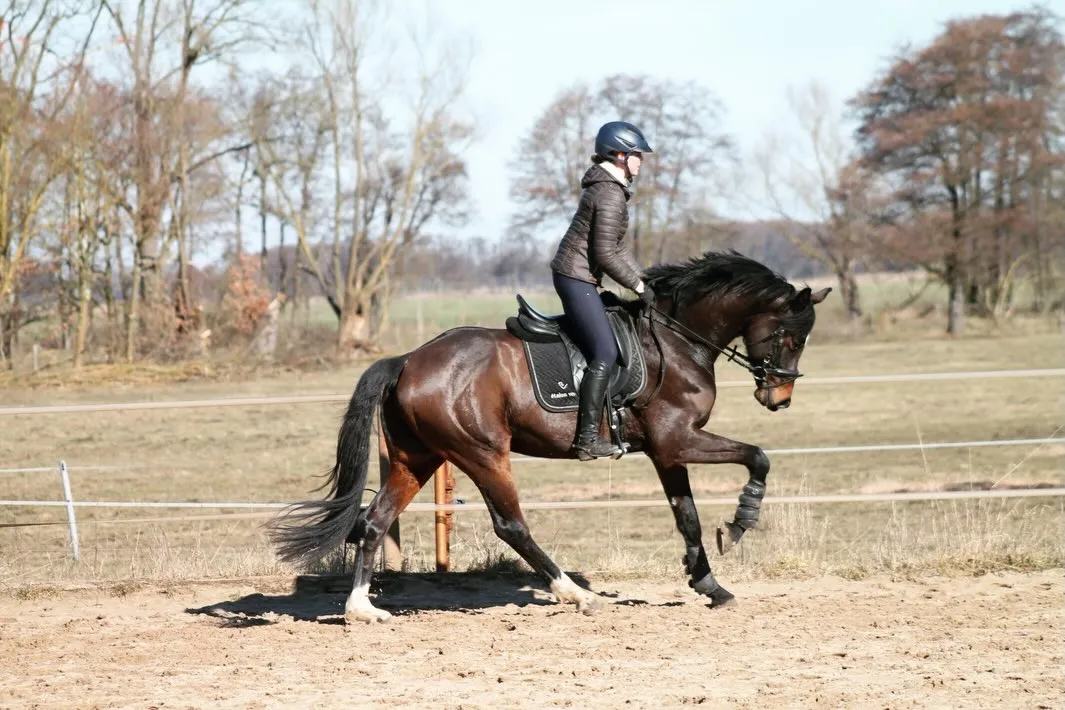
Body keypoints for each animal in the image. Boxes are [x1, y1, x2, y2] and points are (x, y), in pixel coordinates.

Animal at [268, 251, 831, 622]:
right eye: (790, 335)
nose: (779, 398)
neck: (675, 339)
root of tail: (406, 360)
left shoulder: (666, 452)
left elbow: (686, 516)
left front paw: (709, 583)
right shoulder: (680, 440)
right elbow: (758, 457)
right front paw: (739, 524)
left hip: (417, 459)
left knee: (374, 520)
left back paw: (362, 609)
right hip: (483, 453)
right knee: (511, 526)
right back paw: (576, 594)